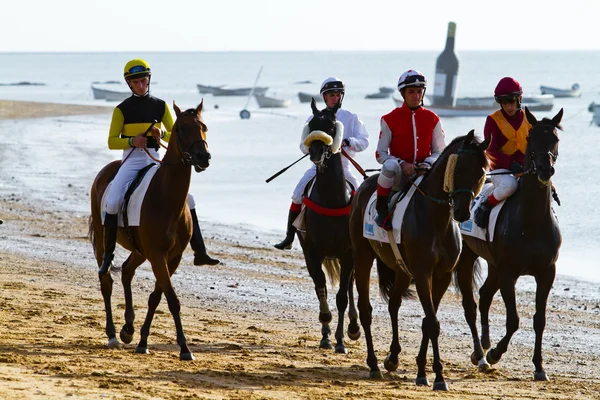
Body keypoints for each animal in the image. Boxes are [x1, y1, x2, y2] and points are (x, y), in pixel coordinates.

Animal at [89, 101, 211, 360]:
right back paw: (113, 334)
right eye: (181, 129)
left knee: (126, 271)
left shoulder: (171, 257)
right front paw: (184, 348)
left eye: (203, 126)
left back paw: (128, 328)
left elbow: (157, 297)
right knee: (106, 280)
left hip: (140, 250)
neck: (166, 198)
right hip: (105, 240)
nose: (203, 157)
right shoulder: (157, 255)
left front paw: (143, 340)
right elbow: (172, 299)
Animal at [296, 99, 360, 354]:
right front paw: (325, 333)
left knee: (351, 285)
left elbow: (342, 296)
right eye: (312, 124)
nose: (315, 152)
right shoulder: (312, 250)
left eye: (332, 126)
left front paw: (341, 340)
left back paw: (354, 327)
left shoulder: (349, 252)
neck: (332, 199)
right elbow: (320, 287)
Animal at [350, 132, 490, 390]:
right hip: (363, 256)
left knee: (394, 304)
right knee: (365, 309)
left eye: (481, 172)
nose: (463, 212)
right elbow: (432, 322)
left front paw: (422, 371)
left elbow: (428, 321)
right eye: (460, 168)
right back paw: (374, 364)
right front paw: (438, 377)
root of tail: (365, 183)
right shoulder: (424, 273)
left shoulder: (442, 275)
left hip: (402, 271)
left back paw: (393, 357)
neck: (436, 219)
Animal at [454, 107, 564, 382]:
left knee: (484, 296)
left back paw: (484, 344)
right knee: (471, 305)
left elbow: (539, 319)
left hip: (494, 265)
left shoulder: (546, 272)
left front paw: (539, 367)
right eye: (532, 139)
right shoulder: (509, 273)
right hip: (467, 259)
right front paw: (495, 353)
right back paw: (480, 354)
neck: (532, 220)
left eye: (555, 139)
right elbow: (513, 320)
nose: (545, 170)